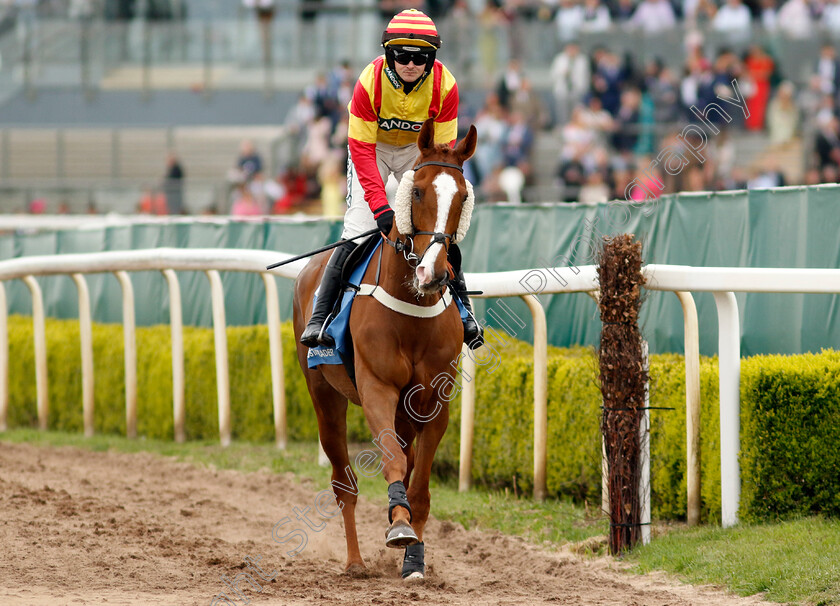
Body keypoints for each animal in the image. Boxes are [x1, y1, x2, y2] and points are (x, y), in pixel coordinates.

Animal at [294, 121, 480, 580]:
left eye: (462, 196)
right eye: (419, 192)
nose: (433, 273)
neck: (411, 306)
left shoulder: (434, 401)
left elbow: (420, 486)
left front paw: (414, 557)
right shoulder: (377, 388)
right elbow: (393, 462)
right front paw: (398, 528)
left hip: (405, 413)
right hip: (324, 395)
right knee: (344, 483)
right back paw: (356, 562)